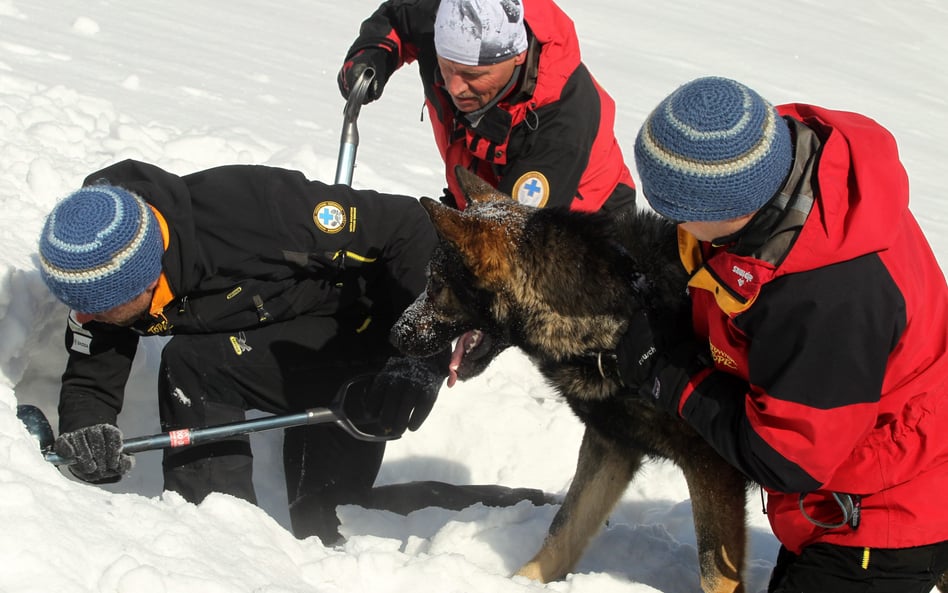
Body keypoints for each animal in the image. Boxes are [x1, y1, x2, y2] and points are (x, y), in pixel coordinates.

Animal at [388, 166, 752, 592]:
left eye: (435, 284)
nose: (394, 334)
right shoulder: (610, 444)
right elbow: (564, 529)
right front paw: (522, 582)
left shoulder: (711, 466)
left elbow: (714, 574)